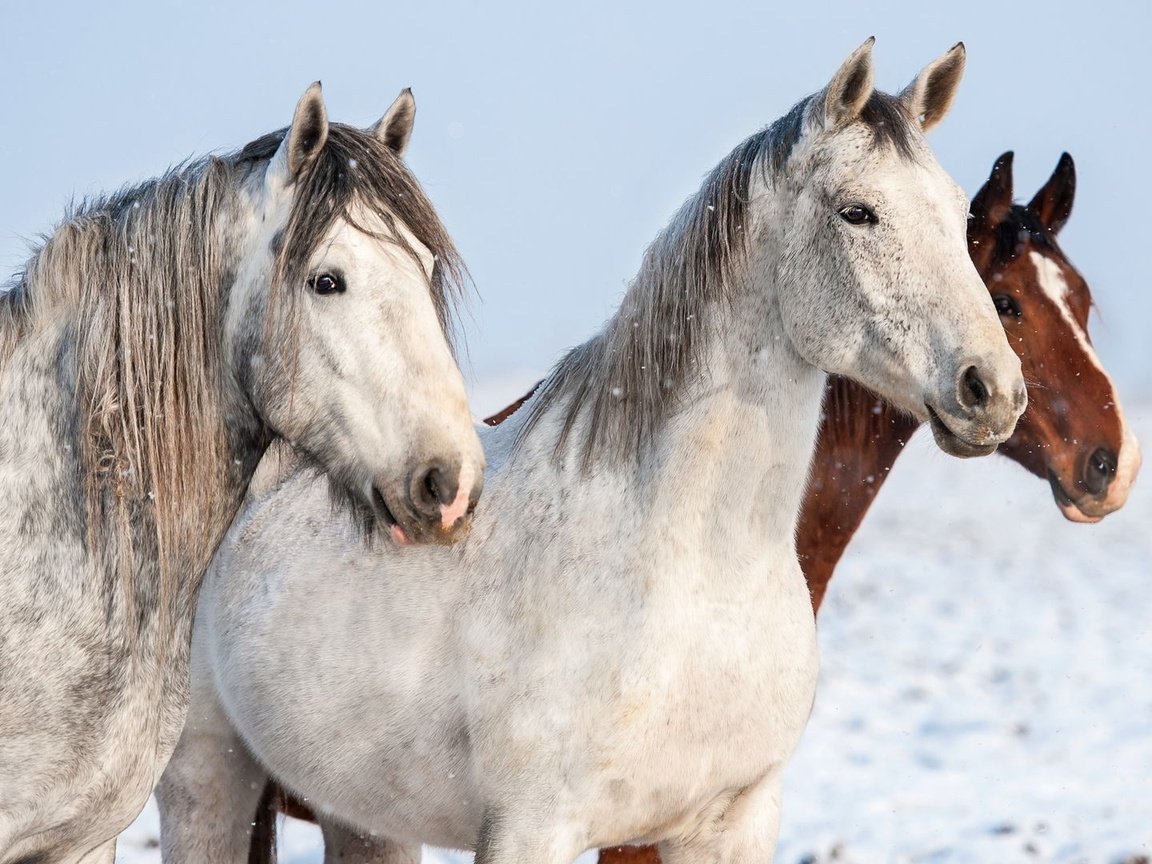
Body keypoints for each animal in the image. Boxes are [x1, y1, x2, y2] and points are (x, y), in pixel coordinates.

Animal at [155, 38, 1027, 864]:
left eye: (958, 214)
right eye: (857, 212)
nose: (992, 389)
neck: (694, 576)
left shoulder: (734, 825)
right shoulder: (530, 828)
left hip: (363, 818)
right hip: (206, 778)